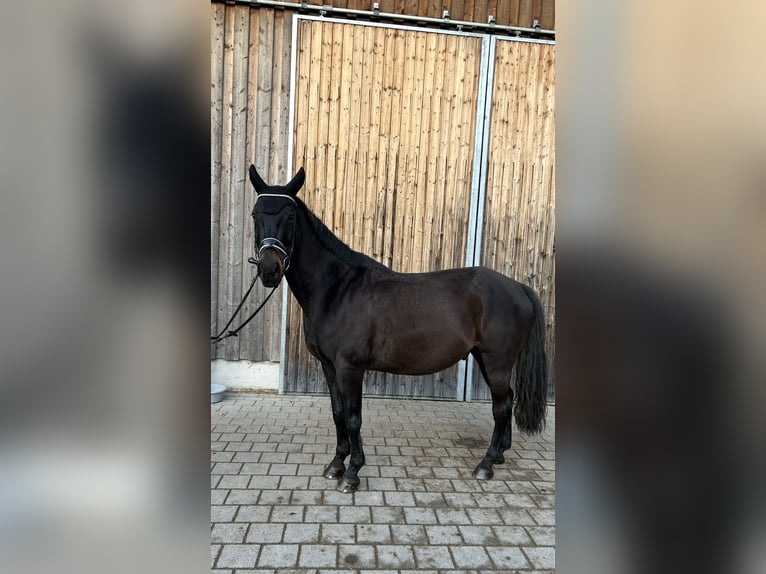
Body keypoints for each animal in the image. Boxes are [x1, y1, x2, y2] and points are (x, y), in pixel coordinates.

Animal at [248, 165, 548, 493]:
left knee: (501, 407)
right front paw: (336, 464)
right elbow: (338, 413)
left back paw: (487, 464)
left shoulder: (350, 367)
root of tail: (518, 287)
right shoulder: (329, 366)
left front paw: (352, 473)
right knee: (506, 400)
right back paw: (500, 454)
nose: (269, 270)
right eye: (255, 215)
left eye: (290, 216)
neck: (337, 289)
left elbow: (353, 418)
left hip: (497, 362)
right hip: (485, 358)